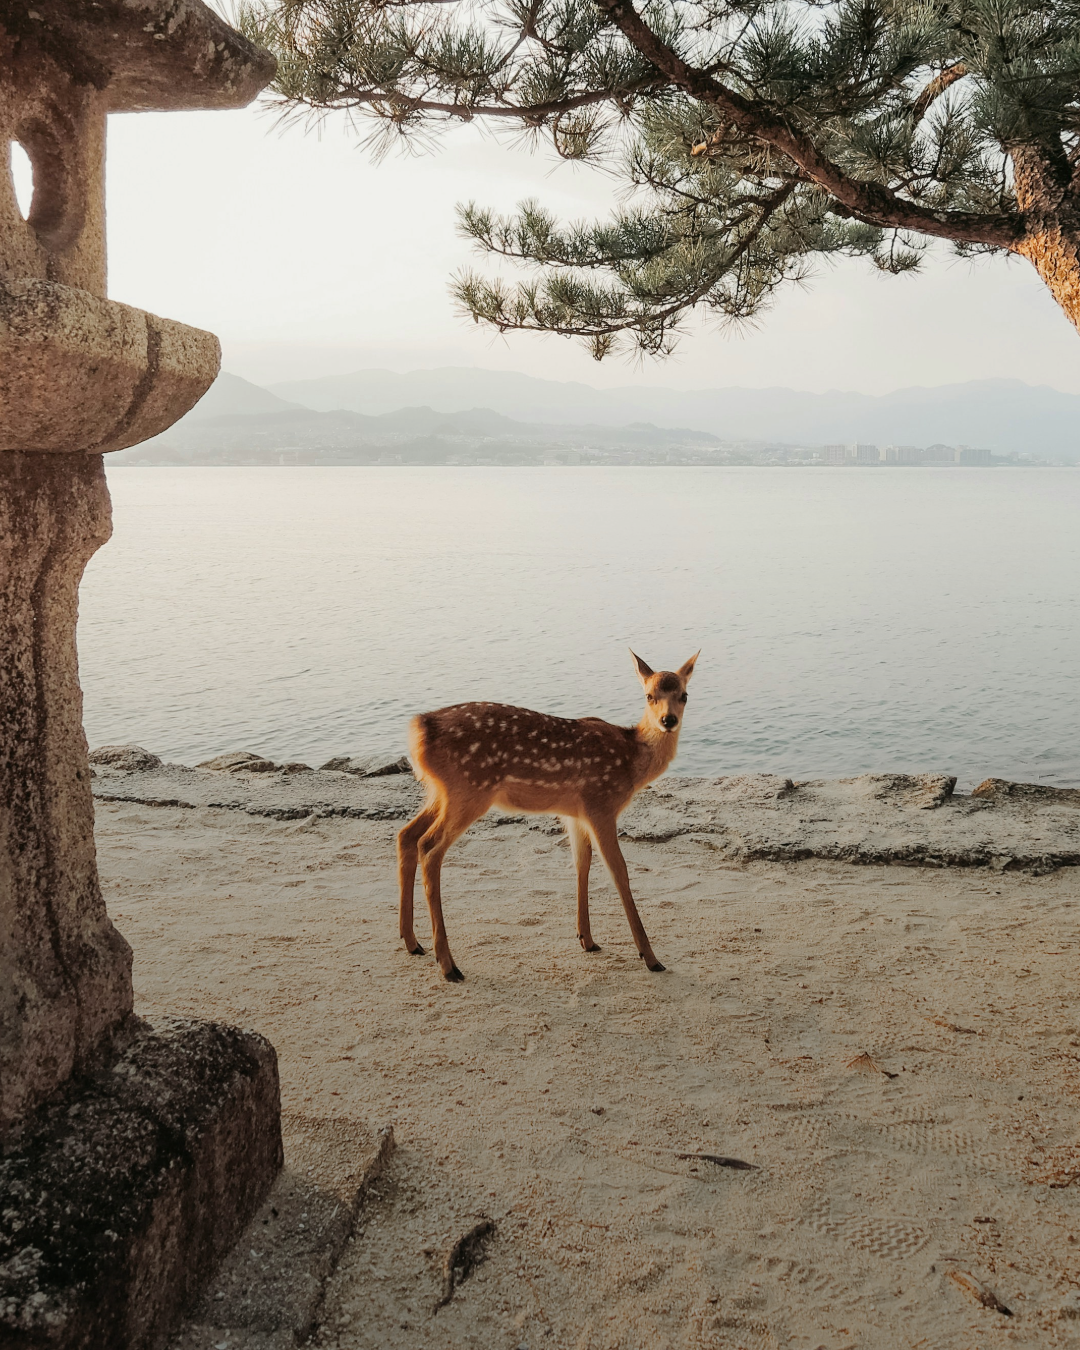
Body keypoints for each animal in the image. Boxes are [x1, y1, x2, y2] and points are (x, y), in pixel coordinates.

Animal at [397, 650, 699, 981]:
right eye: (649, 695)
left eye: (684, 695)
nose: (668, 720)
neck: (632, 761)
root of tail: (418, 730)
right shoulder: (600, 803)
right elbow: (619, 871)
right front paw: (650, 957)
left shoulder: (576, 814)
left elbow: (582, 864)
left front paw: (587, 939)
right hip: (469, 791)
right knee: (429, 847)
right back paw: (448, 965)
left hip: (442, 793)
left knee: (407, 835)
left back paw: (412, 942)